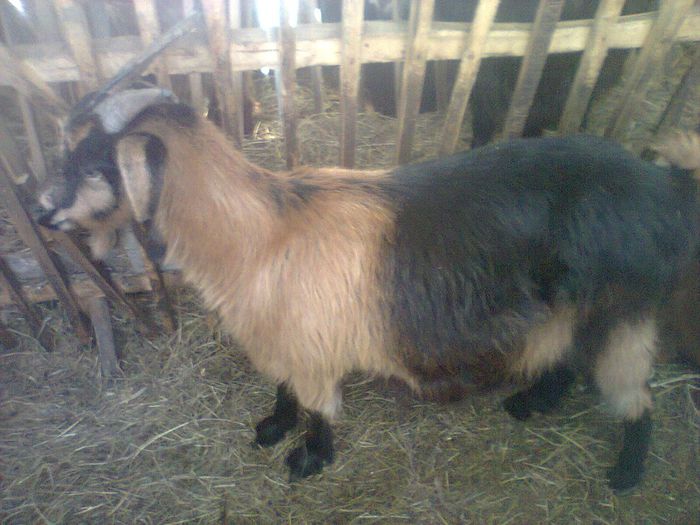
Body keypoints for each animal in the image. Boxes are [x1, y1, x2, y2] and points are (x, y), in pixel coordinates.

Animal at [40, 87, 700, 490]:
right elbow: (283, 392)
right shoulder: (285, 340)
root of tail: (664, 186)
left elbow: (316, 409)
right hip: (575, 310)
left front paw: (308, 459)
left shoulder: (310, 349)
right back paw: (529, 404)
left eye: (93, 165)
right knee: (567, 359)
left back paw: (626, 473)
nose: (42, 212)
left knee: (635, 396)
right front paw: (271, 428)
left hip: (622, 311)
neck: (259, 236)